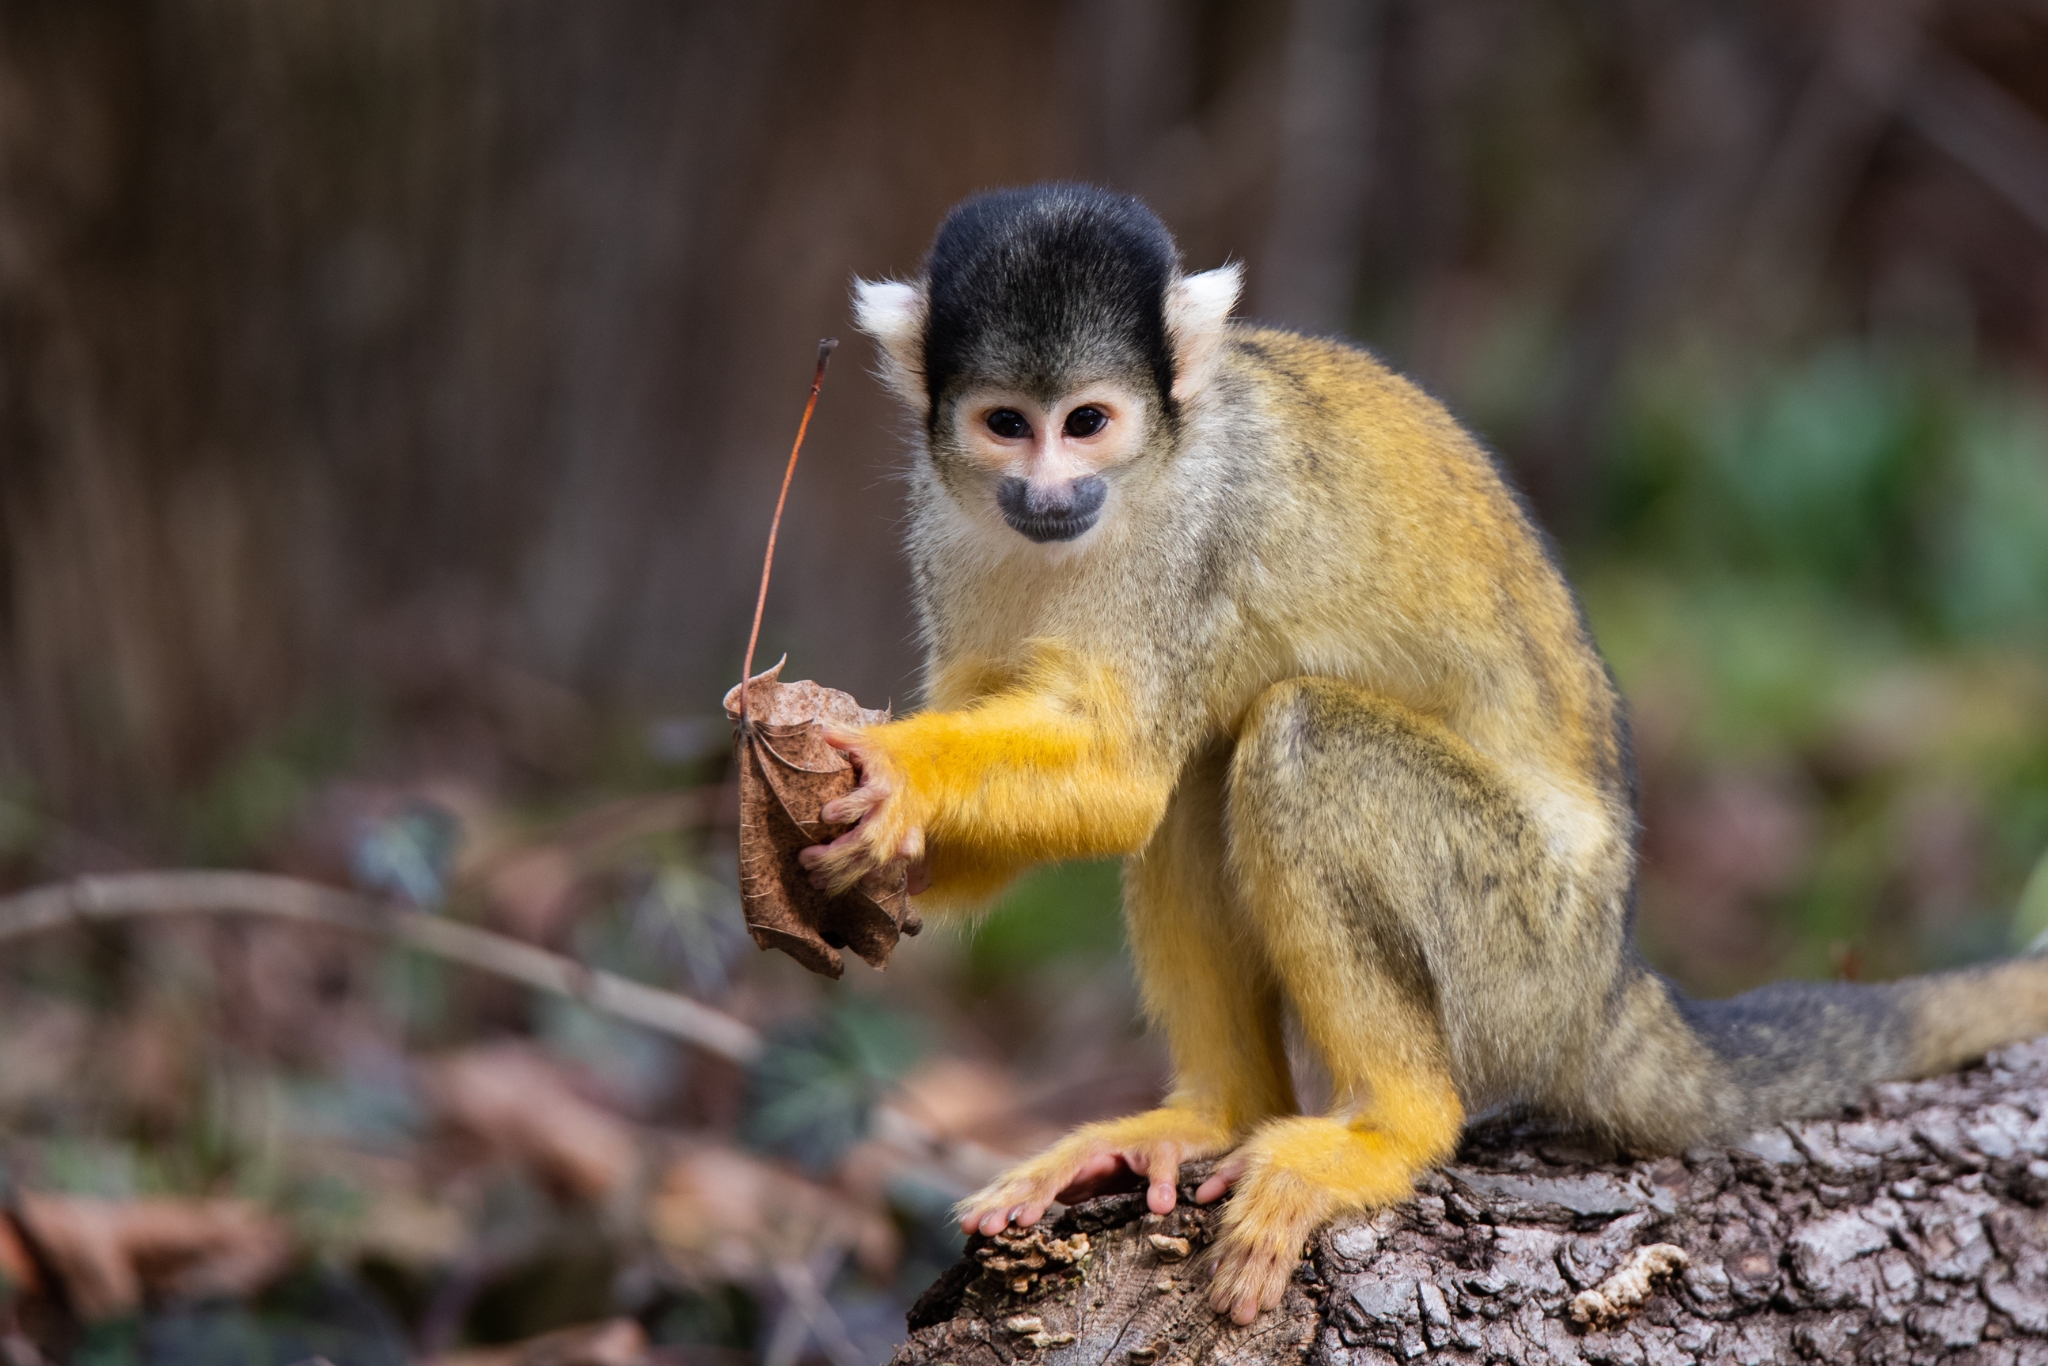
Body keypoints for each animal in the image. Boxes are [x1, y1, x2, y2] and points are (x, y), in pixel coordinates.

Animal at [796, 182, 2048, 1325]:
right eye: (1007, 424)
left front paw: (889, 771)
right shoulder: (944, 523)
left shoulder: (1193, 529)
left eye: (1089, 421)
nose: (1050, 491)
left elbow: (1123, 777)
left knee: (1286, 740)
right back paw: (1214, 1114)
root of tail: (1609, 978)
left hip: (1518, 945)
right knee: (1213, 771)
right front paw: (844, 848)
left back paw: (1390, 1127)